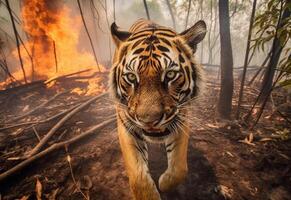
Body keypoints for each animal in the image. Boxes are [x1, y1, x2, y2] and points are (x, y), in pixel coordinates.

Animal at [109, 19, 208, 200]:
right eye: (131, 77)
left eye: (170, 75)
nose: (149, 121)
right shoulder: (126, 125)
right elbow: (138, 178)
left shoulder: (181, 120)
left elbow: (179, 169)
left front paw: (163, 182)